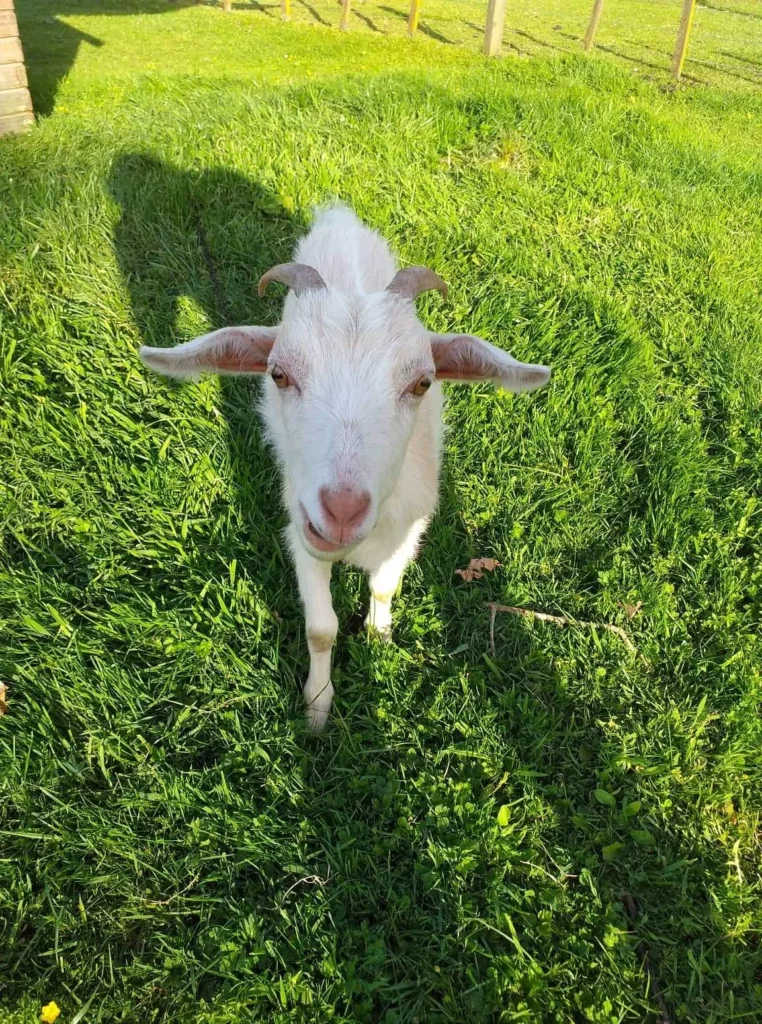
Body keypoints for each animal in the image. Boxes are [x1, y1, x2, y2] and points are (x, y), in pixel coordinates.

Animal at [140, 205, 550, 731]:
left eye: (422, 383)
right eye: (278, 374)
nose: (340, 512)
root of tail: (338, 213)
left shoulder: (410, 528)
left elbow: (385, 588)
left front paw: (380, 636)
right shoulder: (301, 533)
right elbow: (321, 629)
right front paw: (317, 707)